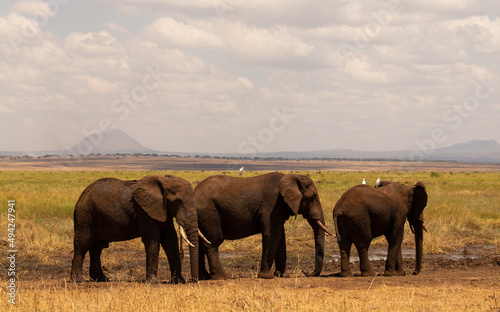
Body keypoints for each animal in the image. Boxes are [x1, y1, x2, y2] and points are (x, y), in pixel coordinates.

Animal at [70, 174, 201, 284]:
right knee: (82, 245)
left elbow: (170, 240)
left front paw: (178, 281)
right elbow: (153, 240)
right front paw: (152, 282)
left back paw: (101, 279)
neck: (164, 181)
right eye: (177, 202)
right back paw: (78, 280)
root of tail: (83, 194)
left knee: (97, 248)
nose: (193, 280)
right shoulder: (143, 211)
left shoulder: (162, 210)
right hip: (85, 215)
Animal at [194, 172, 332, 280]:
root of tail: (194, 191)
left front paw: (280, 275)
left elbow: (280, 237)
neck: (290, 177)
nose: (306, 273)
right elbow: (272, 235)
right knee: (212, 242)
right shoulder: (272, 206)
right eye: (313, 197)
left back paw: (204, 277)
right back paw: (223, 277)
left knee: (200, 243)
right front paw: (267, 276)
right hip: (209, 213)